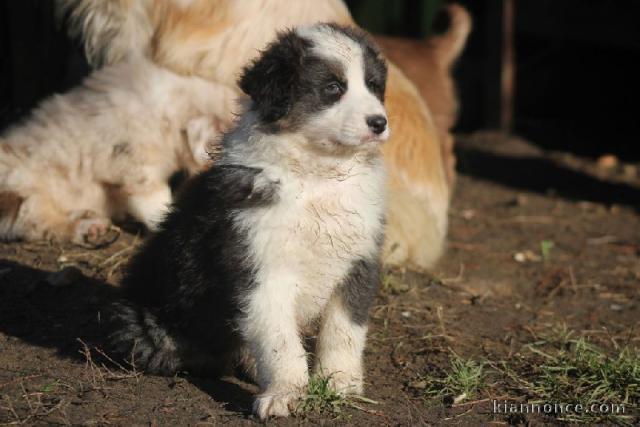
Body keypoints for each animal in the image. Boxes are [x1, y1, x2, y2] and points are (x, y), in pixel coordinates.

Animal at [109, 21, 388, 420]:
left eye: (374, 86)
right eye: (333, 88)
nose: (379, 123)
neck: (317, 175)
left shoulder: (358, 260)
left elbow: (344, 331)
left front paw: (340, 384)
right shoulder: (259, 268)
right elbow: (278, 340)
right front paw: (286, 392)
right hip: (146, 323)